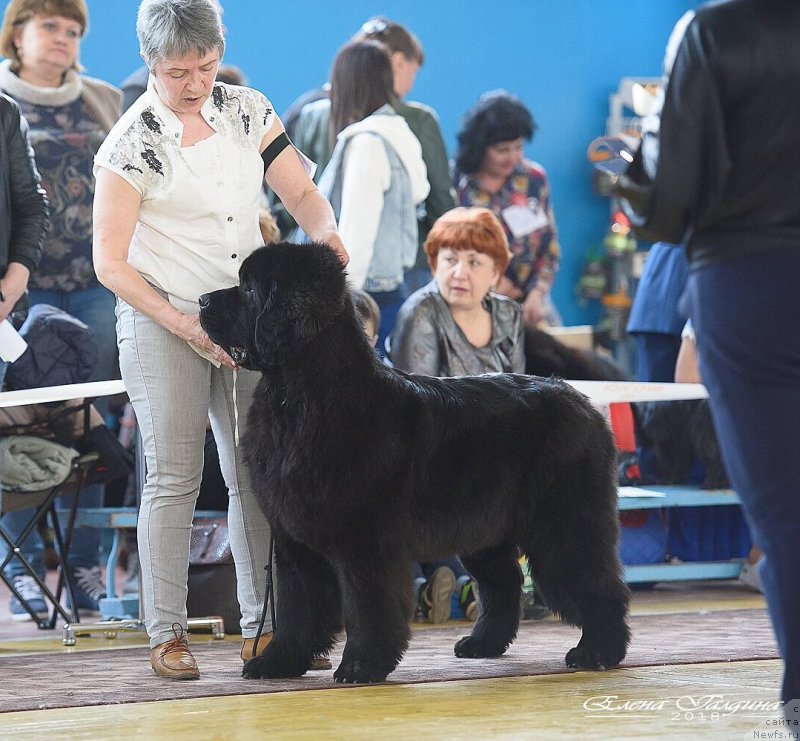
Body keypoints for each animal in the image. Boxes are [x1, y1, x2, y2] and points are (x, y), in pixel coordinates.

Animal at [200, 241, 632, 684]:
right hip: (484, 528)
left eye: (249, 290)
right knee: (504, 583)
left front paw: (361, 665)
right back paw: (483, 644)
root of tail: (583, 402)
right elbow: (295, 607)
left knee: (596, 583)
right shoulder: (293, 539)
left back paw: (598, 651)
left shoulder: (363, 542)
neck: (301, 396)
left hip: (562, 524)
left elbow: (366, 606)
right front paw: (278, 662)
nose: (201, 300)